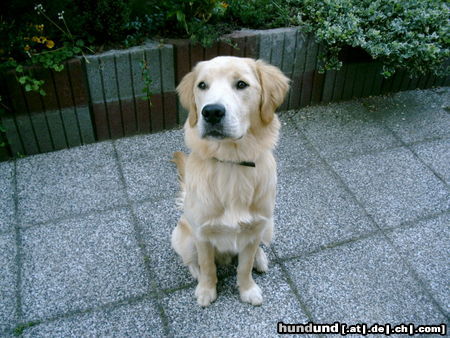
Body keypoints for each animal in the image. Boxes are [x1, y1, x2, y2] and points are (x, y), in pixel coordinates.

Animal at [171, 56, 290, 306]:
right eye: (202, 85)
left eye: (241, 84)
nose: (211, 112)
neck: (232, 162)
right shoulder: (202, 235)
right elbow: (207, 267)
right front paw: (206, 290)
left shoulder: (254, 230)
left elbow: (244, 266)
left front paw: (248, 290)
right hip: (181, 237)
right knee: (191, 261)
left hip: (268, 226)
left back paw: (260, 259)